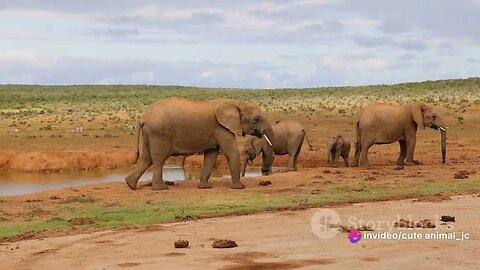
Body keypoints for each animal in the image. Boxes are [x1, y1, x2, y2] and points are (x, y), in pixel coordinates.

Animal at [124, 97, 274, 190]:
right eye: (256, 119)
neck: (236, 103)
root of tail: (143, 118)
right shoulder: (221, 128)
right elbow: (231, 152)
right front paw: (240, 187)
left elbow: (211, 156)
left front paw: (205, 187)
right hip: (159, 133)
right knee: (158, 159)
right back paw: (160, 188)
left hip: (150, 133)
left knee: (146, 158)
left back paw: (131, 185)